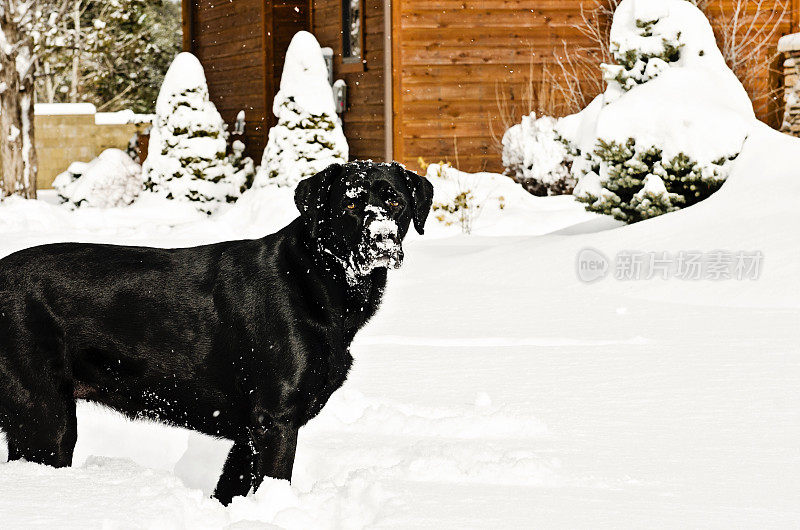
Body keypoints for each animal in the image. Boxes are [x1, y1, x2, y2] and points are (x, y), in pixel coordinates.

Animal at [0, 161, 432, 504]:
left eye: (395, 202)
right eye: (350, 204)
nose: (381, 240)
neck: (316, 279)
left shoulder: (250, 431)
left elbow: (232, 487)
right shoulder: (276, 418)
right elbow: (274, 480)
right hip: (46, 415)